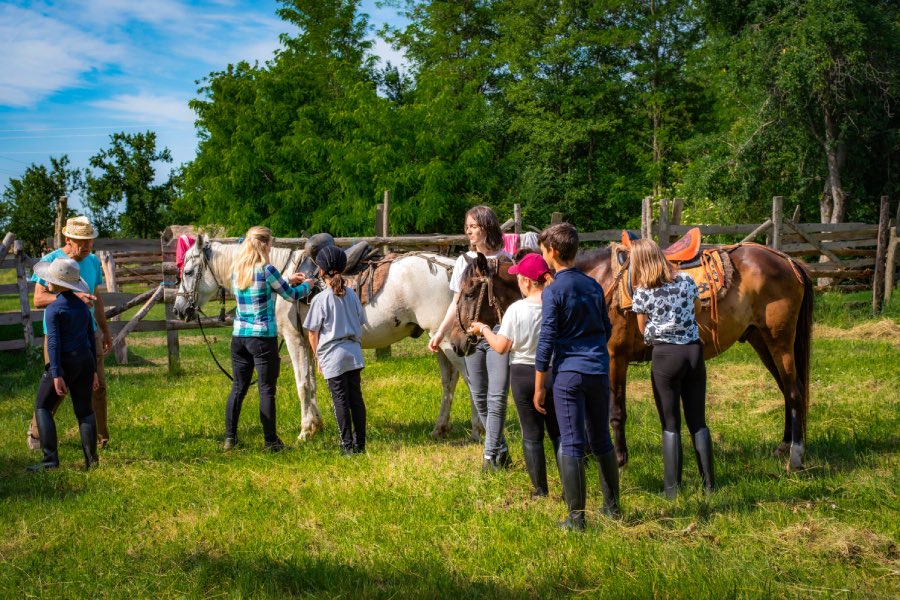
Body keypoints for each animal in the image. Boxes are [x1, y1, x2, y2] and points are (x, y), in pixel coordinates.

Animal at [172, 237, 482, 442]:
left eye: (188, 272)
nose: (179, 309)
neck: (282, 276)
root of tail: (451, 267)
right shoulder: (308, 342)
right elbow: (310, 383)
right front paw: (316, 426)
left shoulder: (295, 340)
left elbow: (301, 384)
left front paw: (304, 432)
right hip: (438, 341)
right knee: (449, 381)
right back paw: (440, 428)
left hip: (447, 342)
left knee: (469, 379)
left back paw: (478, 430)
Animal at [454, 241, 812, 472]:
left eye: (470, 292)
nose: (458, 342)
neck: (595, 286)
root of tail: (788, 260)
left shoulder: (614, 357)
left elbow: (614, 411)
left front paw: (619, 459)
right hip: (760, 340)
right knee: (787, 391)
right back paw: (784, 445)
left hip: (779, 340)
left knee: (794, 392)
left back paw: (796, 457)